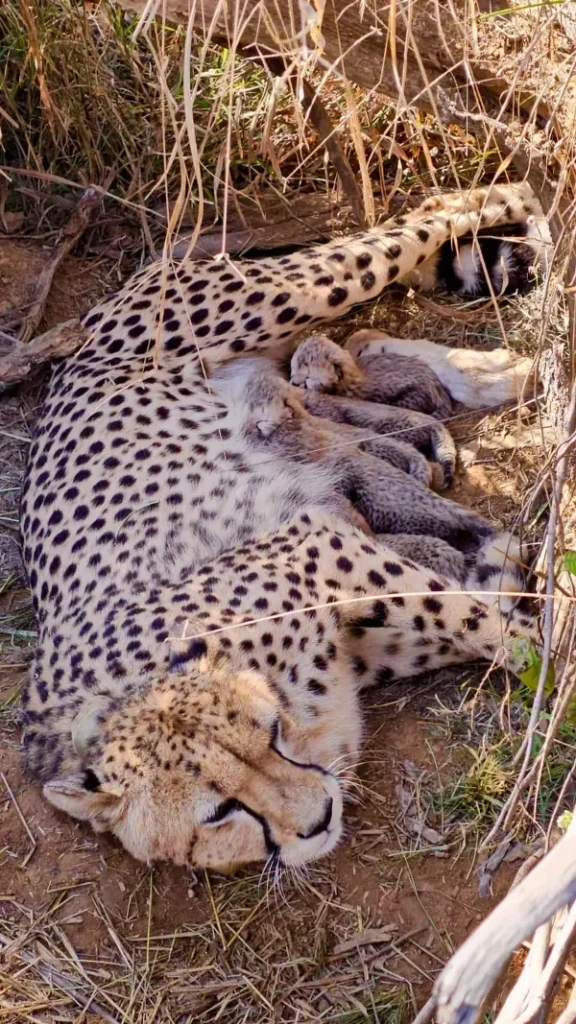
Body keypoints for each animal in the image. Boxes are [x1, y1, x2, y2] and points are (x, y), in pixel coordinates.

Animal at [20, 182, 542, 874]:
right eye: (218, 813)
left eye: (268, 734)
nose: (318, 818)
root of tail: (90, 323)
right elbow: (473, 611)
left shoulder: (319, 547)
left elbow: (484, 622)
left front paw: (556, 662)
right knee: (367, 334)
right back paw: (490, 376)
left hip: (292, 290)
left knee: (438, 214)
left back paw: (522, 214)